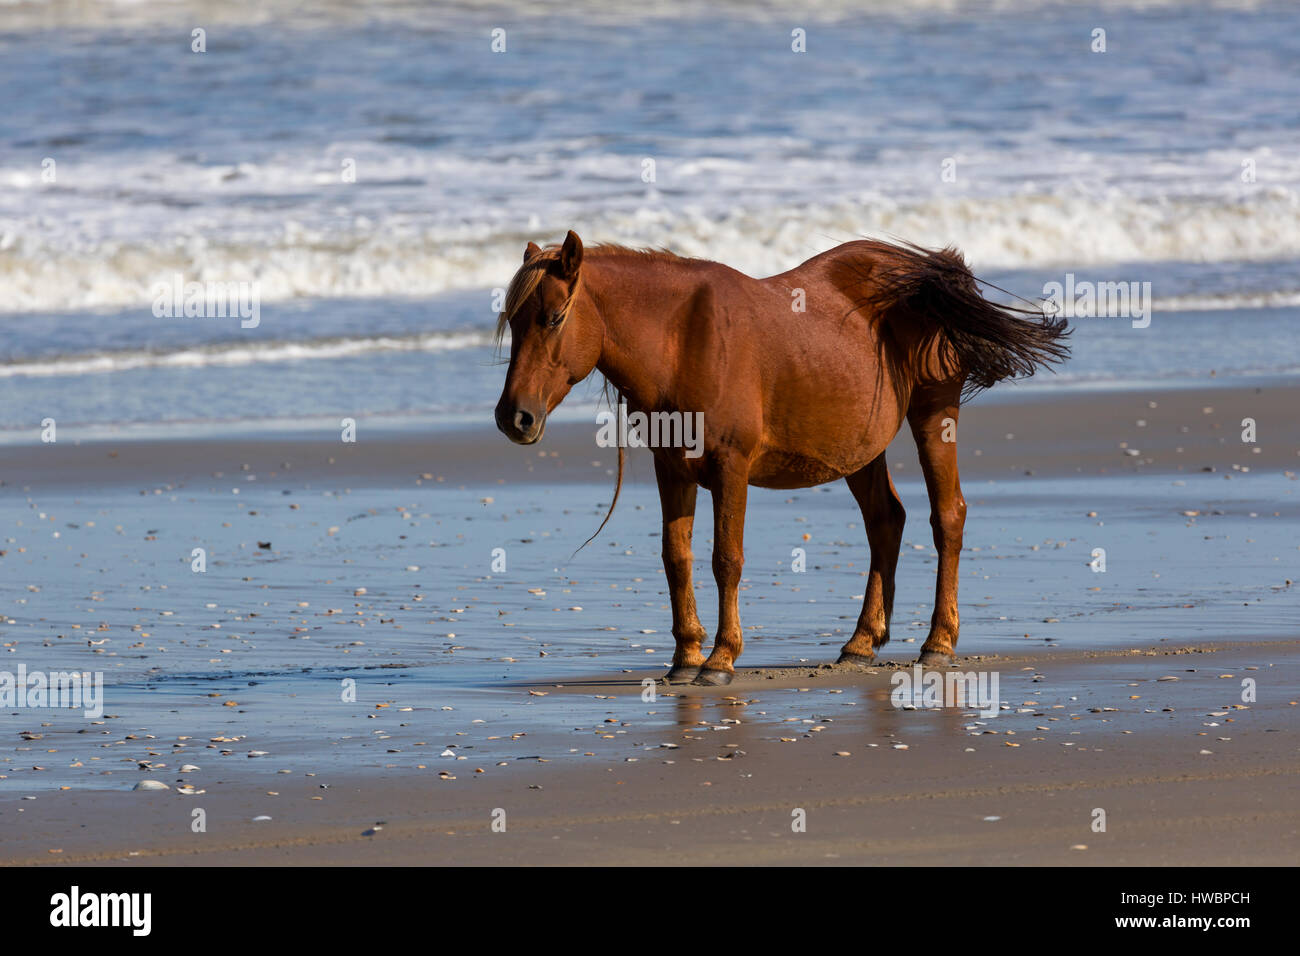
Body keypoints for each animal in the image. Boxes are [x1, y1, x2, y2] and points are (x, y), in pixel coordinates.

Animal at [491, 232, 1060, 686]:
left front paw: (720, 658)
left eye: (554, 317)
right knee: (886, 521)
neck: (683, 340)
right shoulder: (671, 468)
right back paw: (861, 642)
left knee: (947, 517)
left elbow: (726, 560)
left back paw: (938, 642)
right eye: (513, 323)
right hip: (858, 446)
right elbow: (676, 559)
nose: (513, 418)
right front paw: (685, 655)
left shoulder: (731, 467)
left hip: (933, 415)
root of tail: (922, 270)